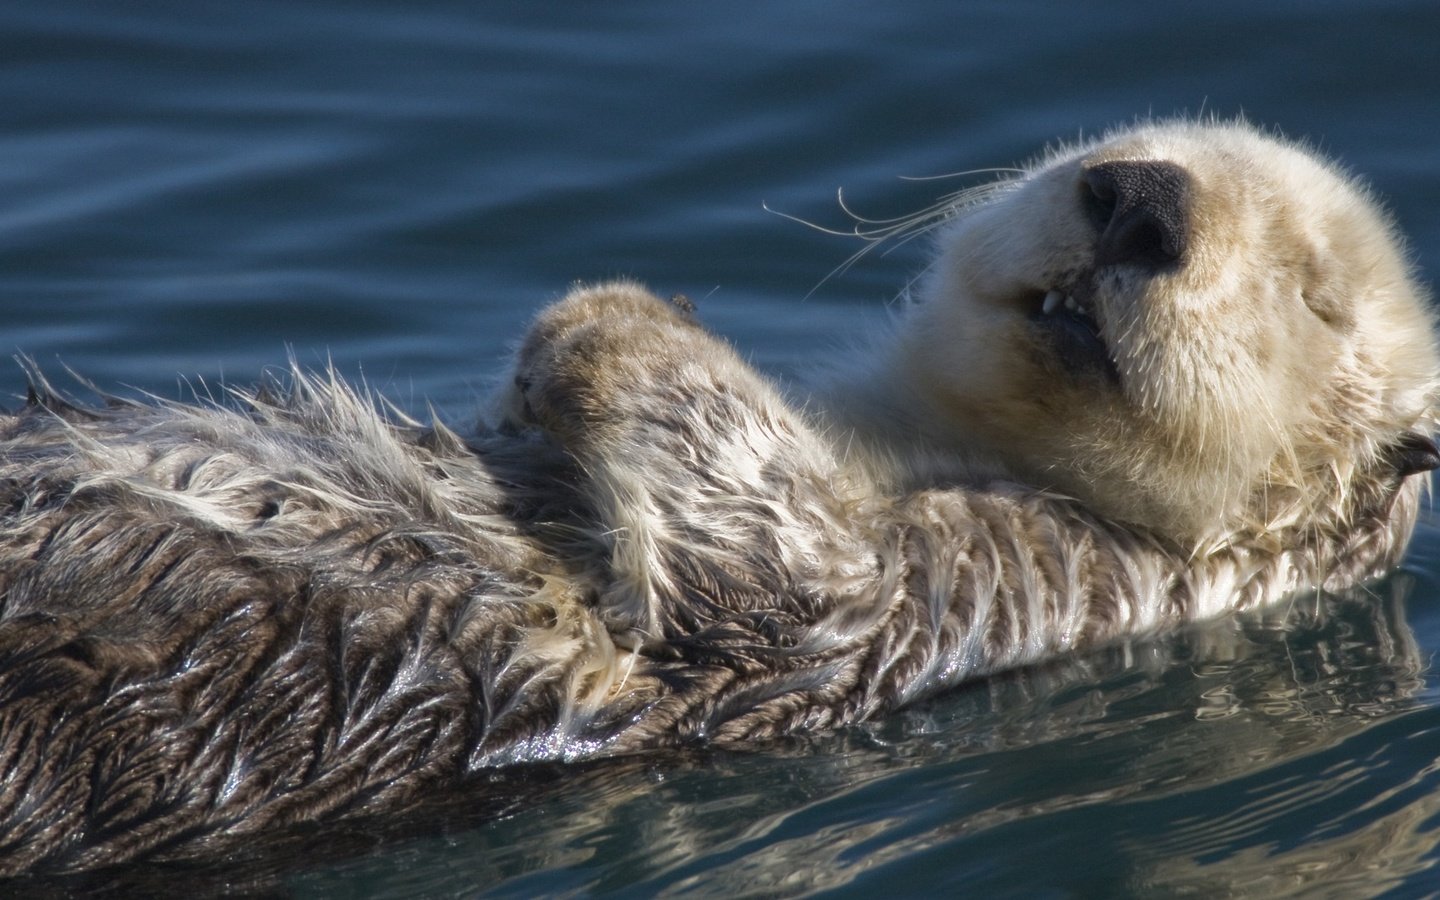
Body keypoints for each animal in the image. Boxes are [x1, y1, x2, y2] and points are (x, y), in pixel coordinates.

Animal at [0, 119, 1428, 869]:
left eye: (1316, 295)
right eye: (1121, 146)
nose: (1138, 198)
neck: (912, 437)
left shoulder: (1004, 582)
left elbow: (782, 567)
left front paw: (607, 318)